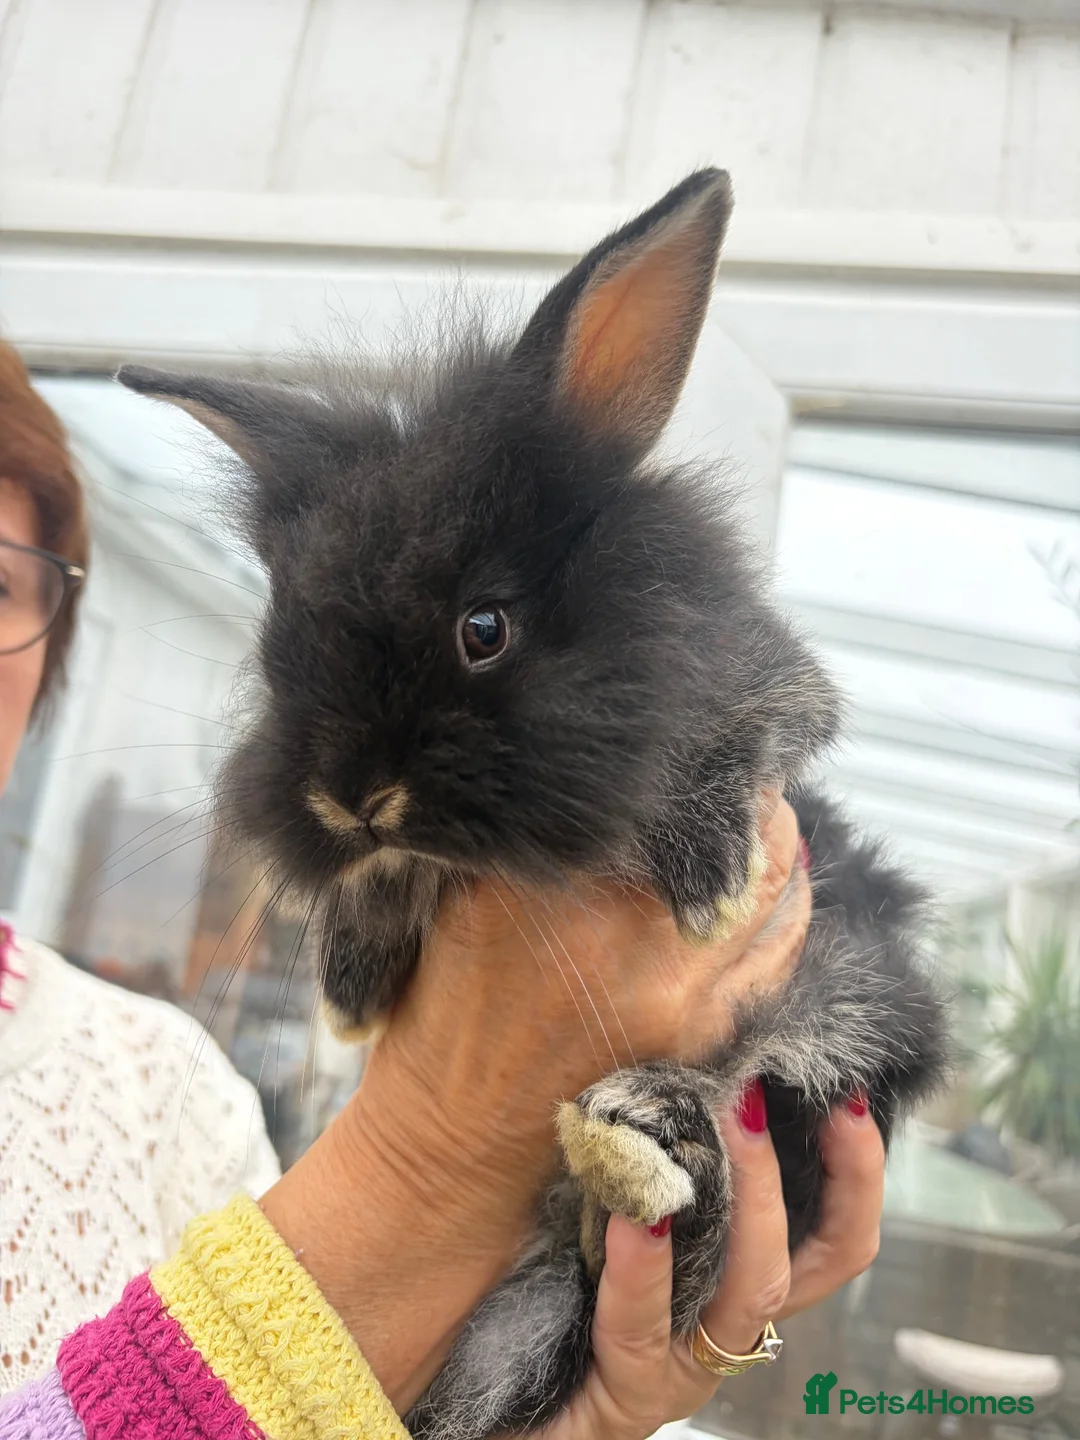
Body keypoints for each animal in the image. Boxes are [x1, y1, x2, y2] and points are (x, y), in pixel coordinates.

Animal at [117, 168, 948, 1440]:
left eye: (484, 627)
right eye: (279, 640)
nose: (350, 798)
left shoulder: (772, 698)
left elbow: (733, 747)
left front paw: (712, 881)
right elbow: (398, 879)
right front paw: (356, 976)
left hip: (846, 1015)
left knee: (711, 1159)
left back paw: (635, 1134)